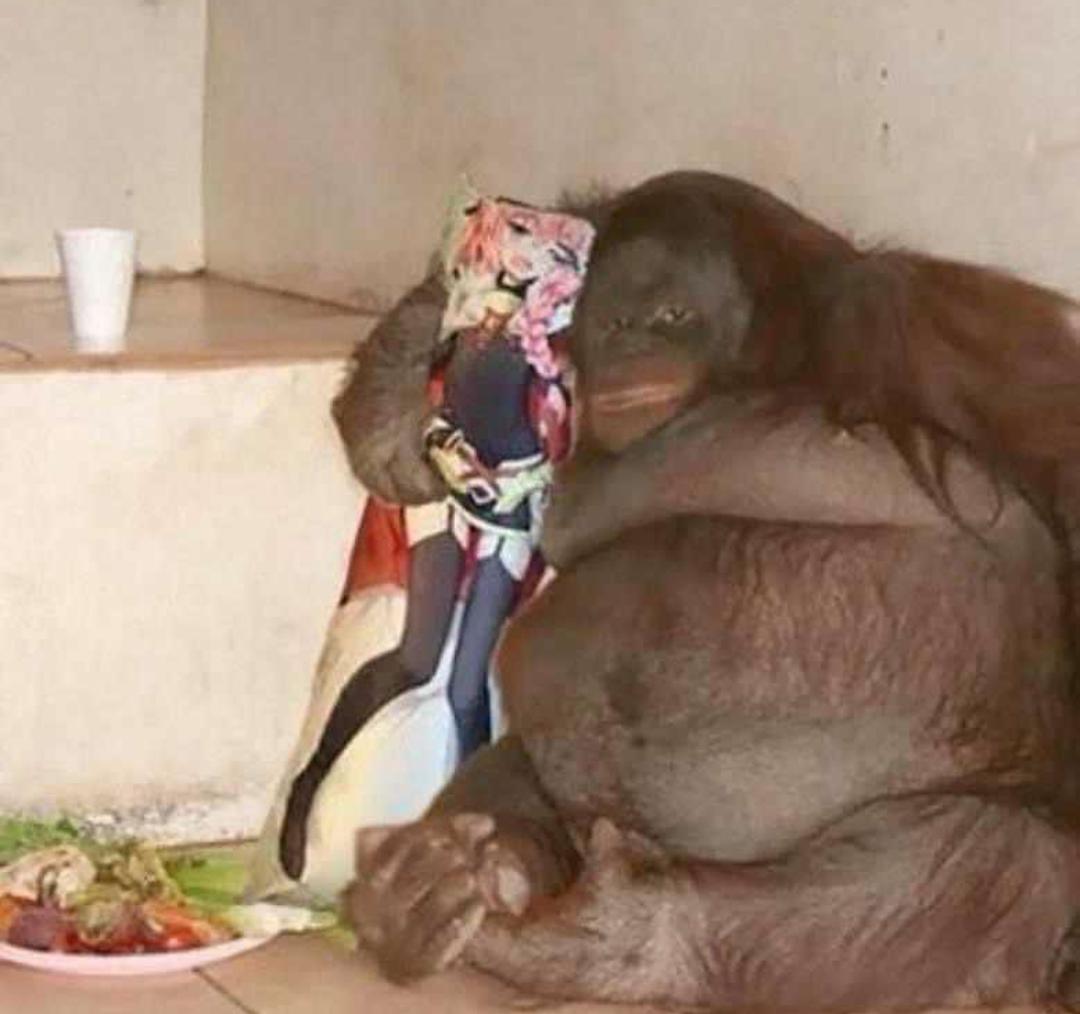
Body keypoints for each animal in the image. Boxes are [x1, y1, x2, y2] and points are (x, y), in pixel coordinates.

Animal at [339, 171, 1080, 1011]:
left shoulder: (932, 326)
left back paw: (630, 941)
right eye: (613, 320)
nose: (631, 345)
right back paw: (442, 892)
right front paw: (394, 404)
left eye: (670, 315)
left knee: (996, 855)